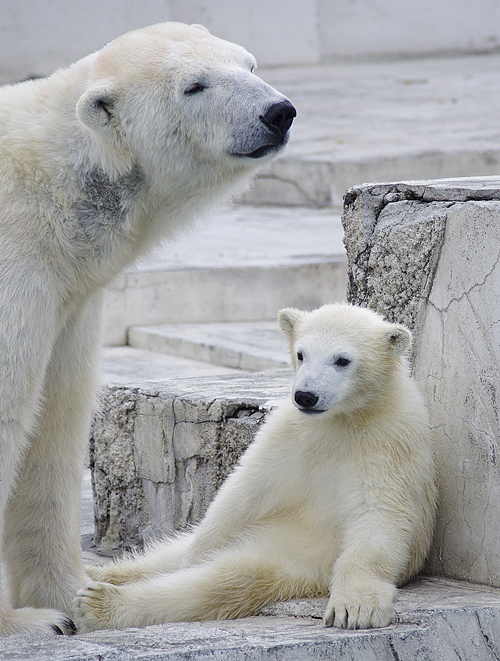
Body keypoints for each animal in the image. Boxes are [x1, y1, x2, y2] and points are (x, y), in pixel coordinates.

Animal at [0, 24, 296, 636]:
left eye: (250, 65)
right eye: (194, 85)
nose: (278, 112)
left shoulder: (69, 295)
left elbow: (56, 417)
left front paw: (70, 600)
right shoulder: (16, 263)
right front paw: (30, 622)